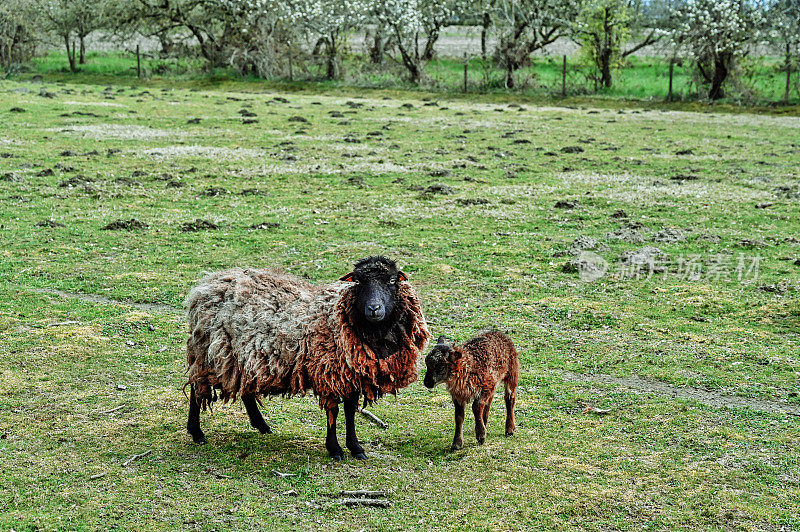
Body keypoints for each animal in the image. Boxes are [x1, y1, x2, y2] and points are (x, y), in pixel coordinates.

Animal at [184, 256, 432, 460]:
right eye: (359, 282)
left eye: (392, 280)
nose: (374, 308)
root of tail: (208, 284)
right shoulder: (329, 373)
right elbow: (333, 411)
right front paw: (335, 449)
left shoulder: (350, 375)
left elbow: (350, 411)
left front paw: (355, 447)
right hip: (209, 352)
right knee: (197, 388)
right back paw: (197, 432)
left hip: (244, 357)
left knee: (245, 388)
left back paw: (261, 425)